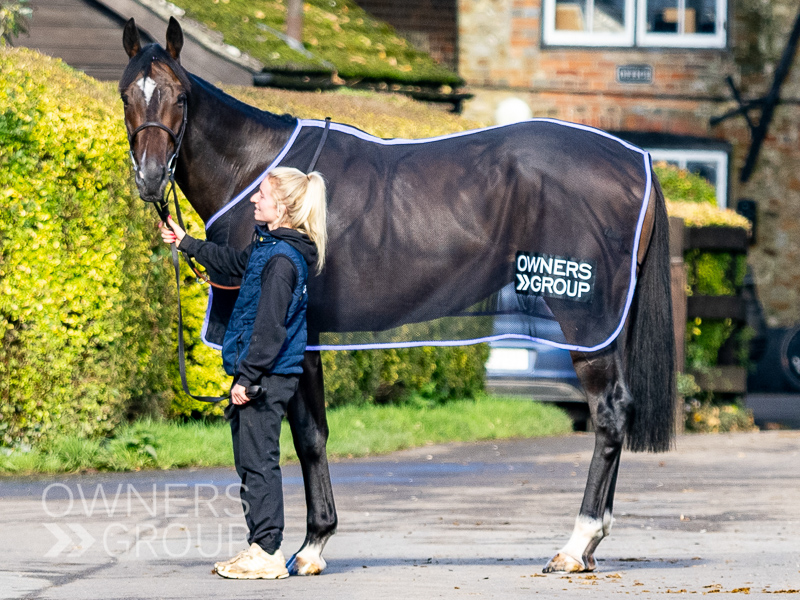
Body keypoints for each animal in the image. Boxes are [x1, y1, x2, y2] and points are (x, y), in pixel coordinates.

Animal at [120, 16, 676, 576]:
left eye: (180, 96)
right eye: (127, 94)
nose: (150, 178)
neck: (257, 171)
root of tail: (638, 163)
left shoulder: (299, 336)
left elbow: (309, 437)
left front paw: (311, 547)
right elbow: (312, 434)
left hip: (585, 319)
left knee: (609, 410)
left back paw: (576, 544)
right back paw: (593, 541)